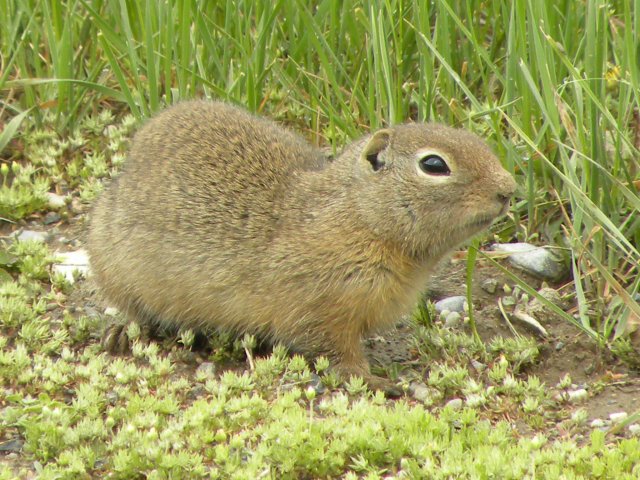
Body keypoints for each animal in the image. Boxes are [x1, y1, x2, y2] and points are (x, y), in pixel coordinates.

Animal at [86, 101, 516, 390]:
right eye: (434, 165)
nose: (508, 189)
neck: (359, 219)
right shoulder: (319, 308)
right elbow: (335, 350)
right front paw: (371, 380)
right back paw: (122, 334)